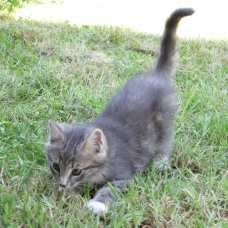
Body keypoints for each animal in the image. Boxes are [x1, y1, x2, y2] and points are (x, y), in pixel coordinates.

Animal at [45, 7, 194, 214]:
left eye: (77, 171)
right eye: (56, 166)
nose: (63, 184)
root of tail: (156, 76)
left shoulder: (124, 175)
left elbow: (111, 188)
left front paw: (97, 204)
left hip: (165, 120)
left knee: (165, 141)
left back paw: (160, 162)